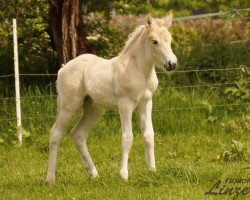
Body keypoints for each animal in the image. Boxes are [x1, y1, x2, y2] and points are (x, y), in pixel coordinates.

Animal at [45, 12, 178, 184]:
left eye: (170, 39)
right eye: (154, 41)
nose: (172, 63)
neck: (139, 70)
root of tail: (63, 68)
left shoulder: (146, 102)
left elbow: (149, 135)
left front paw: (152, 171)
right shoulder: (125, 104)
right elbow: (127, 137)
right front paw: (123, 175)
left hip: (94, 109)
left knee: (78, 135)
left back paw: (94, 174)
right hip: (69, 105)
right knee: (56, 134)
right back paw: (50, 179)